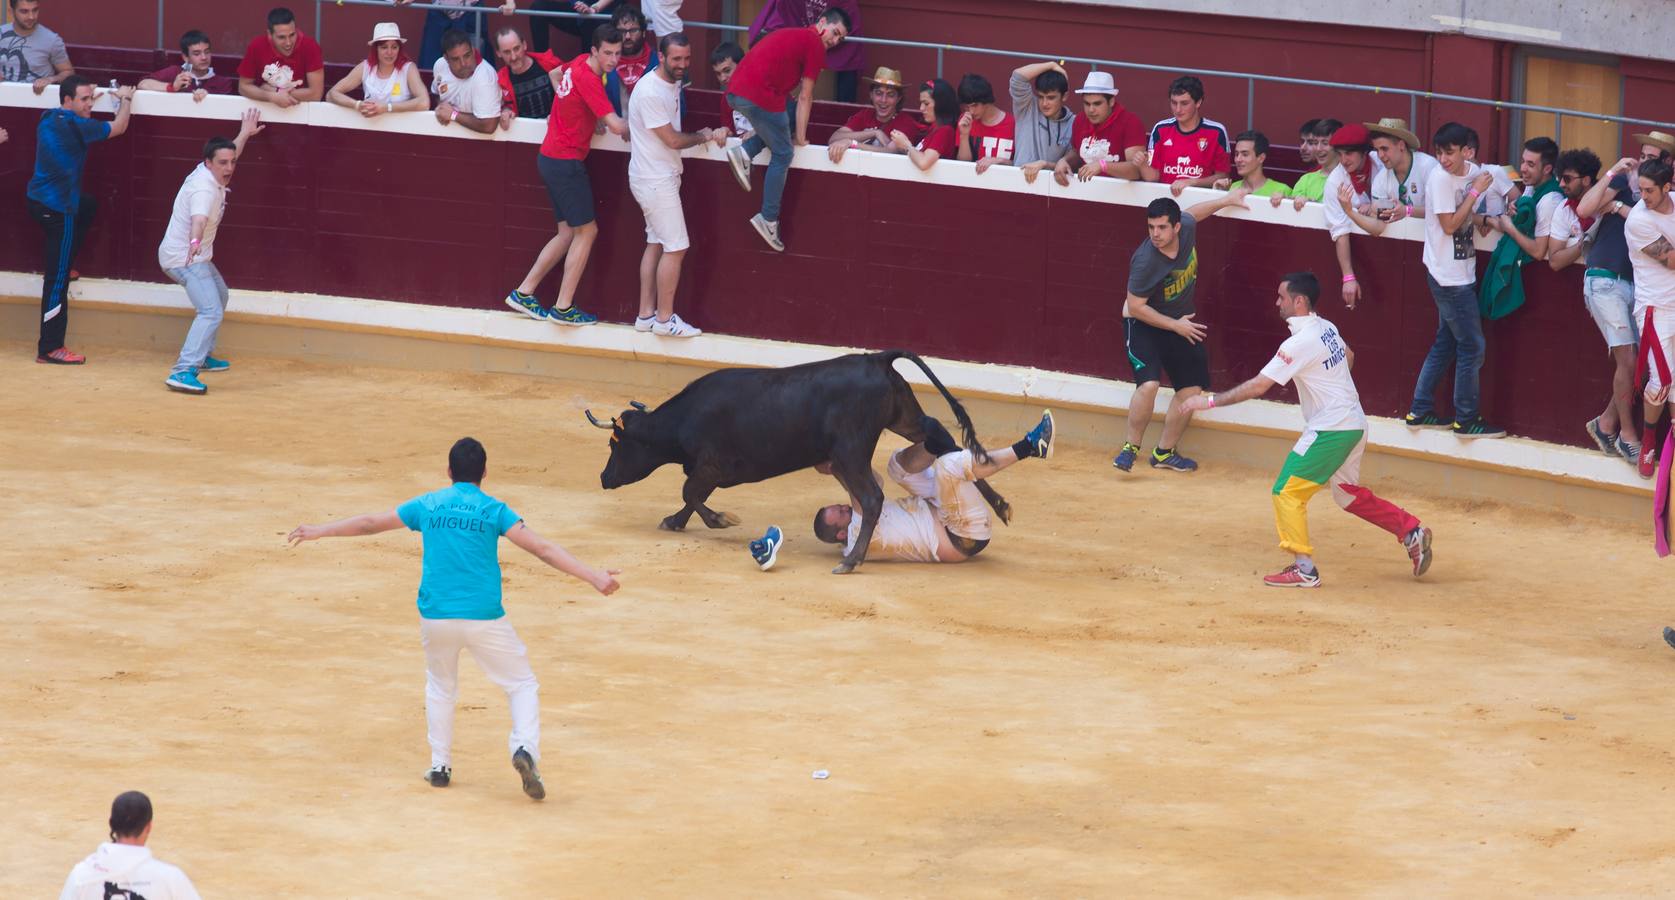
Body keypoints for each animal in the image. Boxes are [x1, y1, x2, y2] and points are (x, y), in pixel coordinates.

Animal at [589, 346, 1005, 573]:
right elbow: (692, 495)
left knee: (872, 498)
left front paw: (717, 520)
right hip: (903, 419)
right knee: (941, 438)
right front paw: (678, 521)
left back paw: (851, 561)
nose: (604, 478)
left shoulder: (712, 466)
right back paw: (1000, 503)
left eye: (615, 445)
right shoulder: (709, 470)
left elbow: (690, 491)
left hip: (849, 452)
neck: (685, 419)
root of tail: (876, 360)